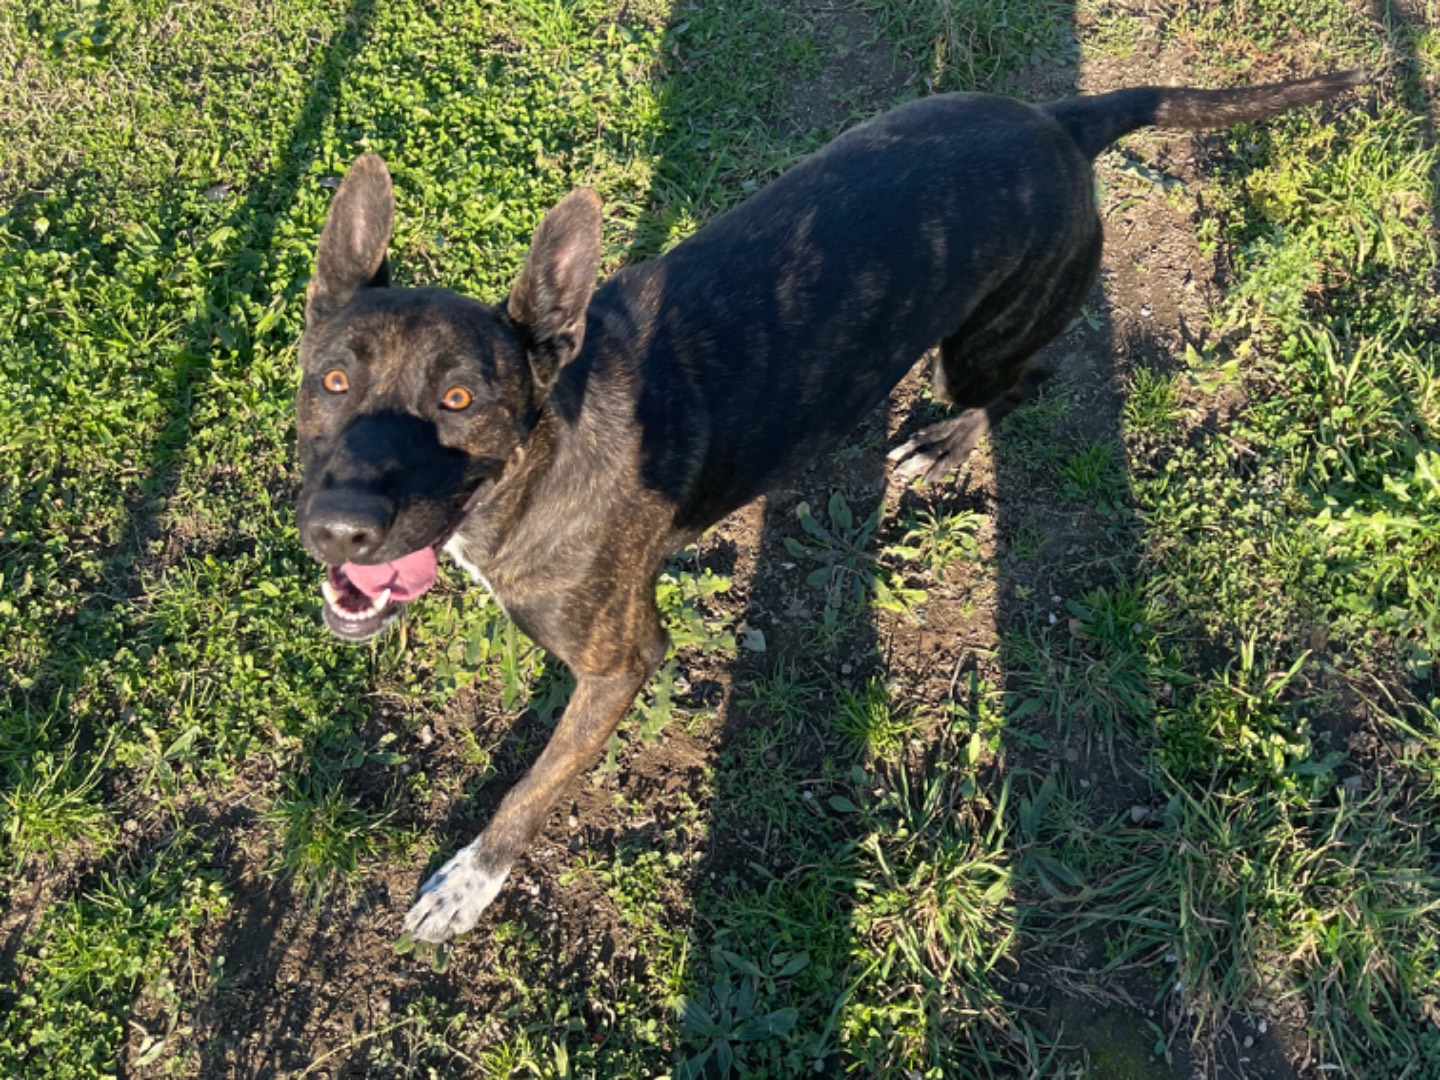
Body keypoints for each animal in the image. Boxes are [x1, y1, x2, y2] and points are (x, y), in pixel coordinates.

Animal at [295, 72, 1359, 944]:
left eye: (460, 401)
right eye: (333, 379)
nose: (338, 526)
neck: (544, 448)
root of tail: (1058, 121)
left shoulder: (618, 663)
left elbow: (532, 783)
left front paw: (470, 882)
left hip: (983, 343)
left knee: (1026, 382)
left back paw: (943, 442)